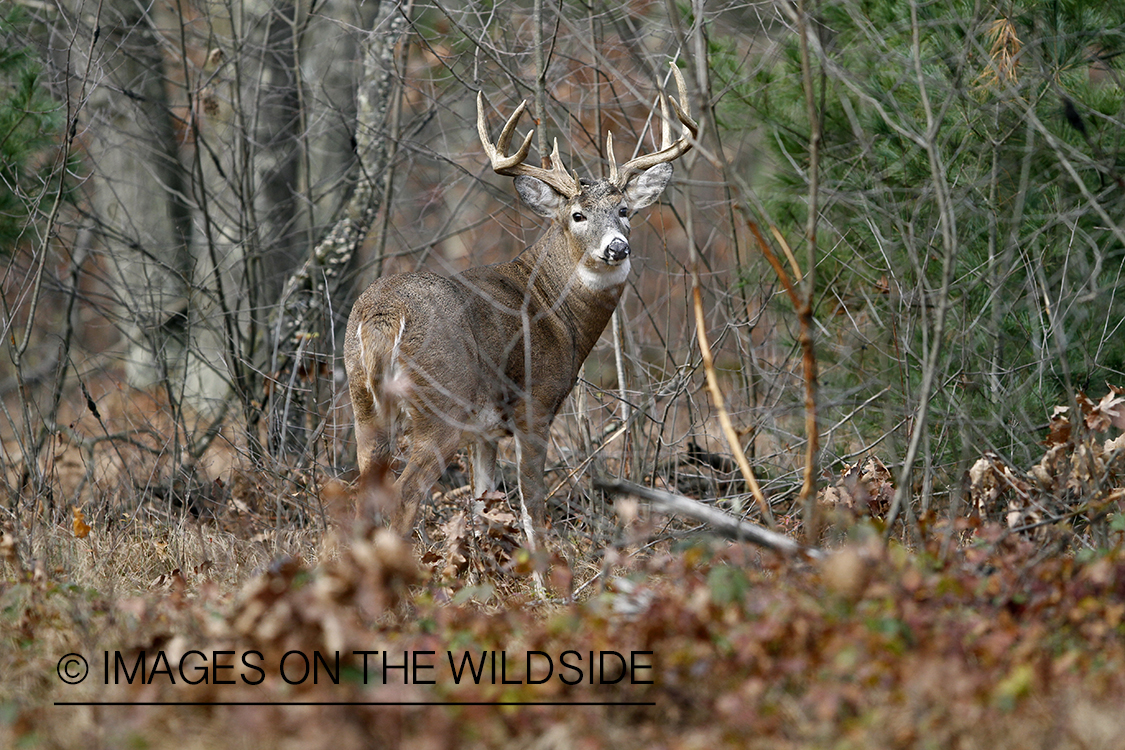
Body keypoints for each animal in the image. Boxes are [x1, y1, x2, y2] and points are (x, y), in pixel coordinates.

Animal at [342, 64, 693, 541]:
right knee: (406, 493)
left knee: (363, 496)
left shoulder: (485, 433)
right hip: (442, 402)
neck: (560, 313)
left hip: (363, 401)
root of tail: (384, 316)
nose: (617, 247)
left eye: (624, 211)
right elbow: (532, 507)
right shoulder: (536, 404)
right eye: (577, 215)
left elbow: (480, 504)